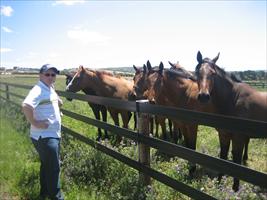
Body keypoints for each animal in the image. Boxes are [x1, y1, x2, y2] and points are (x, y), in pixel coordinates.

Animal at [195, 51, 267, 191]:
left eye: (213, 73)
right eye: (197, 72)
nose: (204, 96)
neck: (233, 99)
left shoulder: (238, 137)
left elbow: (236, 160)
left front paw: (235, 188)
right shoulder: (224, 134)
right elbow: (223, 157)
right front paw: (219, 182)